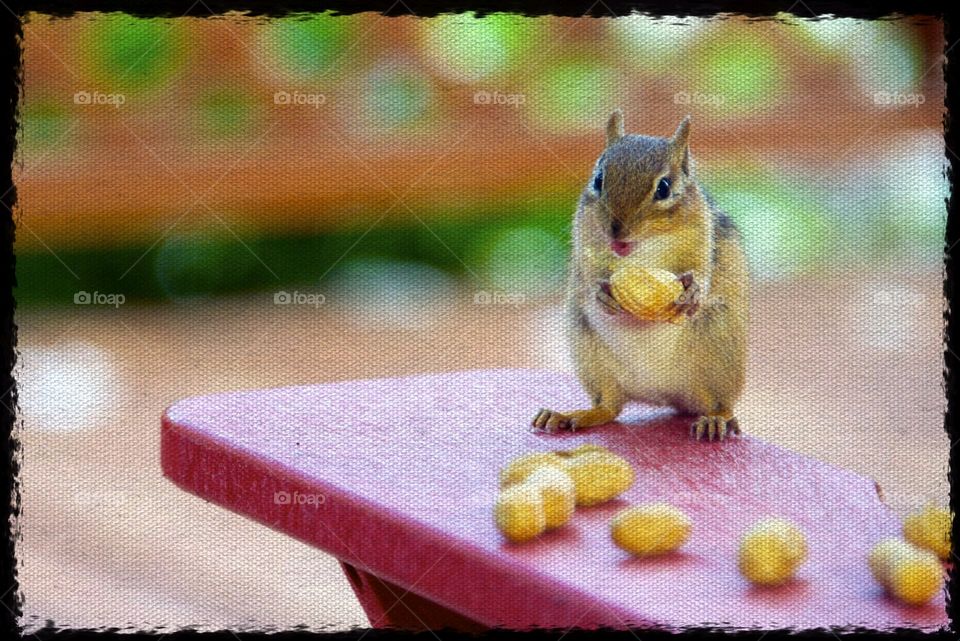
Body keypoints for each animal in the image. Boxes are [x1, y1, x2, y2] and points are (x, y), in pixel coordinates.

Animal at [531, 110, 749, 441]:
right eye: (598, 179)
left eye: (664, 188)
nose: (616, 231)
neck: (642, 249)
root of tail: (662, 394)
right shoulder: (584, 241)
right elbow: (588, 273)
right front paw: (600, 293)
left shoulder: (704, 236)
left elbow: (702, 269)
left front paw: (693, 292)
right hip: (592, 358)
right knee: (609, 407)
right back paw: (570, 415)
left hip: (719, 355)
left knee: (720, 403)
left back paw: (716, 419)